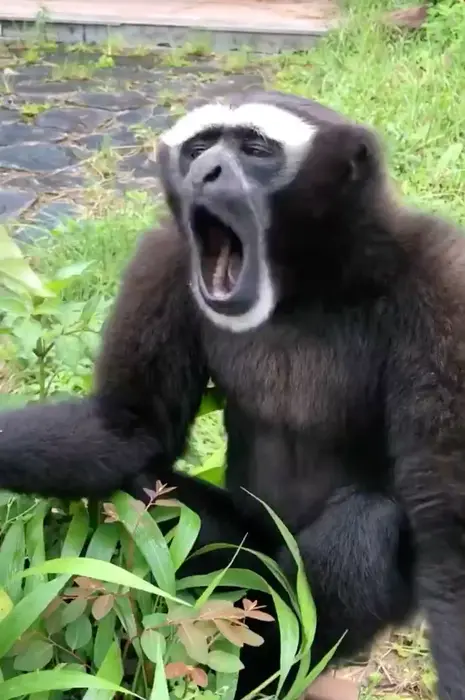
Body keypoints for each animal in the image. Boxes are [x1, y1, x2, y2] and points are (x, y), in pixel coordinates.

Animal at [0, 90, 465, 699]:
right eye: (200, 147)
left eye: (254, 148)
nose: (206, 171)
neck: (302, 287)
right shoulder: (166, 256)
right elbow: (128, 430)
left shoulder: (442, 279)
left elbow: (447, 522)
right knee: (147, 494)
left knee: (367, 526)